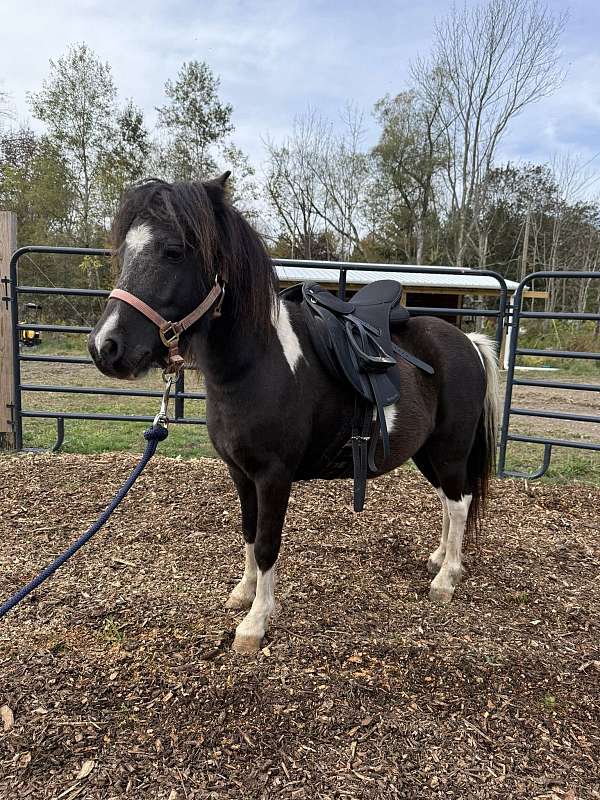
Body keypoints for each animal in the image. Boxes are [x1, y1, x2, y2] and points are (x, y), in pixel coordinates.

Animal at [88, 173, 500, 654]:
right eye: (124, 251)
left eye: (173, 251)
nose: (105, 347)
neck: (256, 364)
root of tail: (468, 341)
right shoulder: (241, 474)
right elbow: (249, 532)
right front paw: (244, 592)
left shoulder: (273, 476)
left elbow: (268, 542)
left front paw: (255, 623)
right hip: (426, 452)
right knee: (449, 501)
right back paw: (439, 558)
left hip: (450, 449)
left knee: (460, 502)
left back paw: (446, 579)